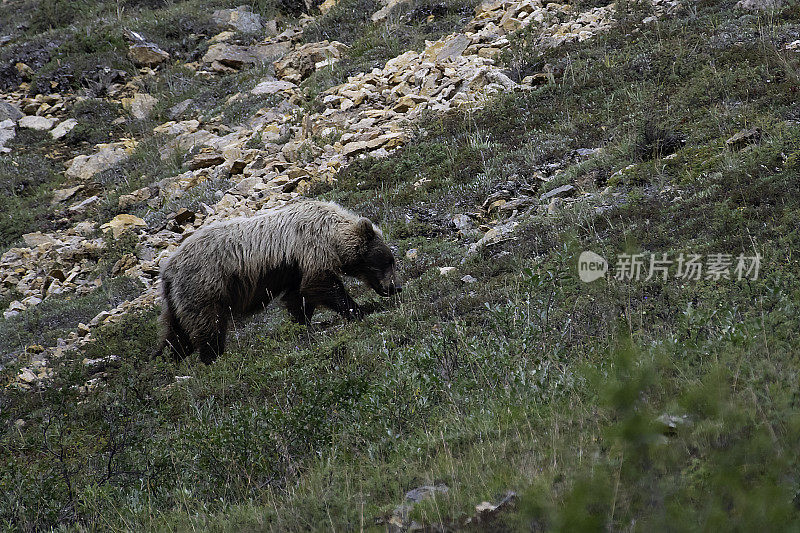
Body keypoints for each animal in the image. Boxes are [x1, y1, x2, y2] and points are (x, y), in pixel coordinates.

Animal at [158, 197, 400, 364]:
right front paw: (356, 310)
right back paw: (212, 357)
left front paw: (302, 323)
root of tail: (168, 269)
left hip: (178, 299)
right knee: (208, 323)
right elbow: (322, 284)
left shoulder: (296, 268)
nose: (395, 287)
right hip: (204, 283)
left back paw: (167, 359)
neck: (333, 236)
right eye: (387, 261)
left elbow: (299, 296)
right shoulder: (312, 247)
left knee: (177, 333)